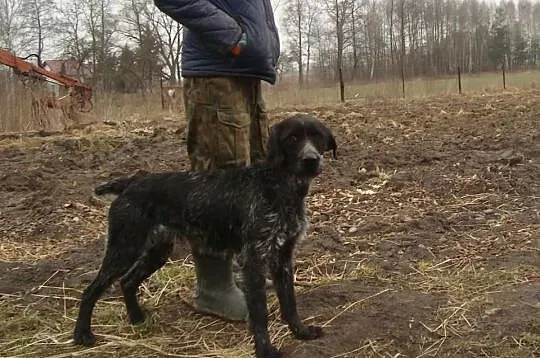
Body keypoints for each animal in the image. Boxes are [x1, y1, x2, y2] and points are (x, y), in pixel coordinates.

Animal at [74, 114, 336, 358]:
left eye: (317, 137)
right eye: (293, 138)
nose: (311, 160)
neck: (279, 186)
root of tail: (130, 183)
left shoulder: (283, 258)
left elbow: (290, 303)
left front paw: (301, 333)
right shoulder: (253, 260)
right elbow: (260, 314)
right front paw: (265, 350)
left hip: (157, 251)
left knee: (127, 282)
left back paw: (137, 320)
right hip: (124, 248)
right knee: (91, 290)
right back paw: (82, 334)